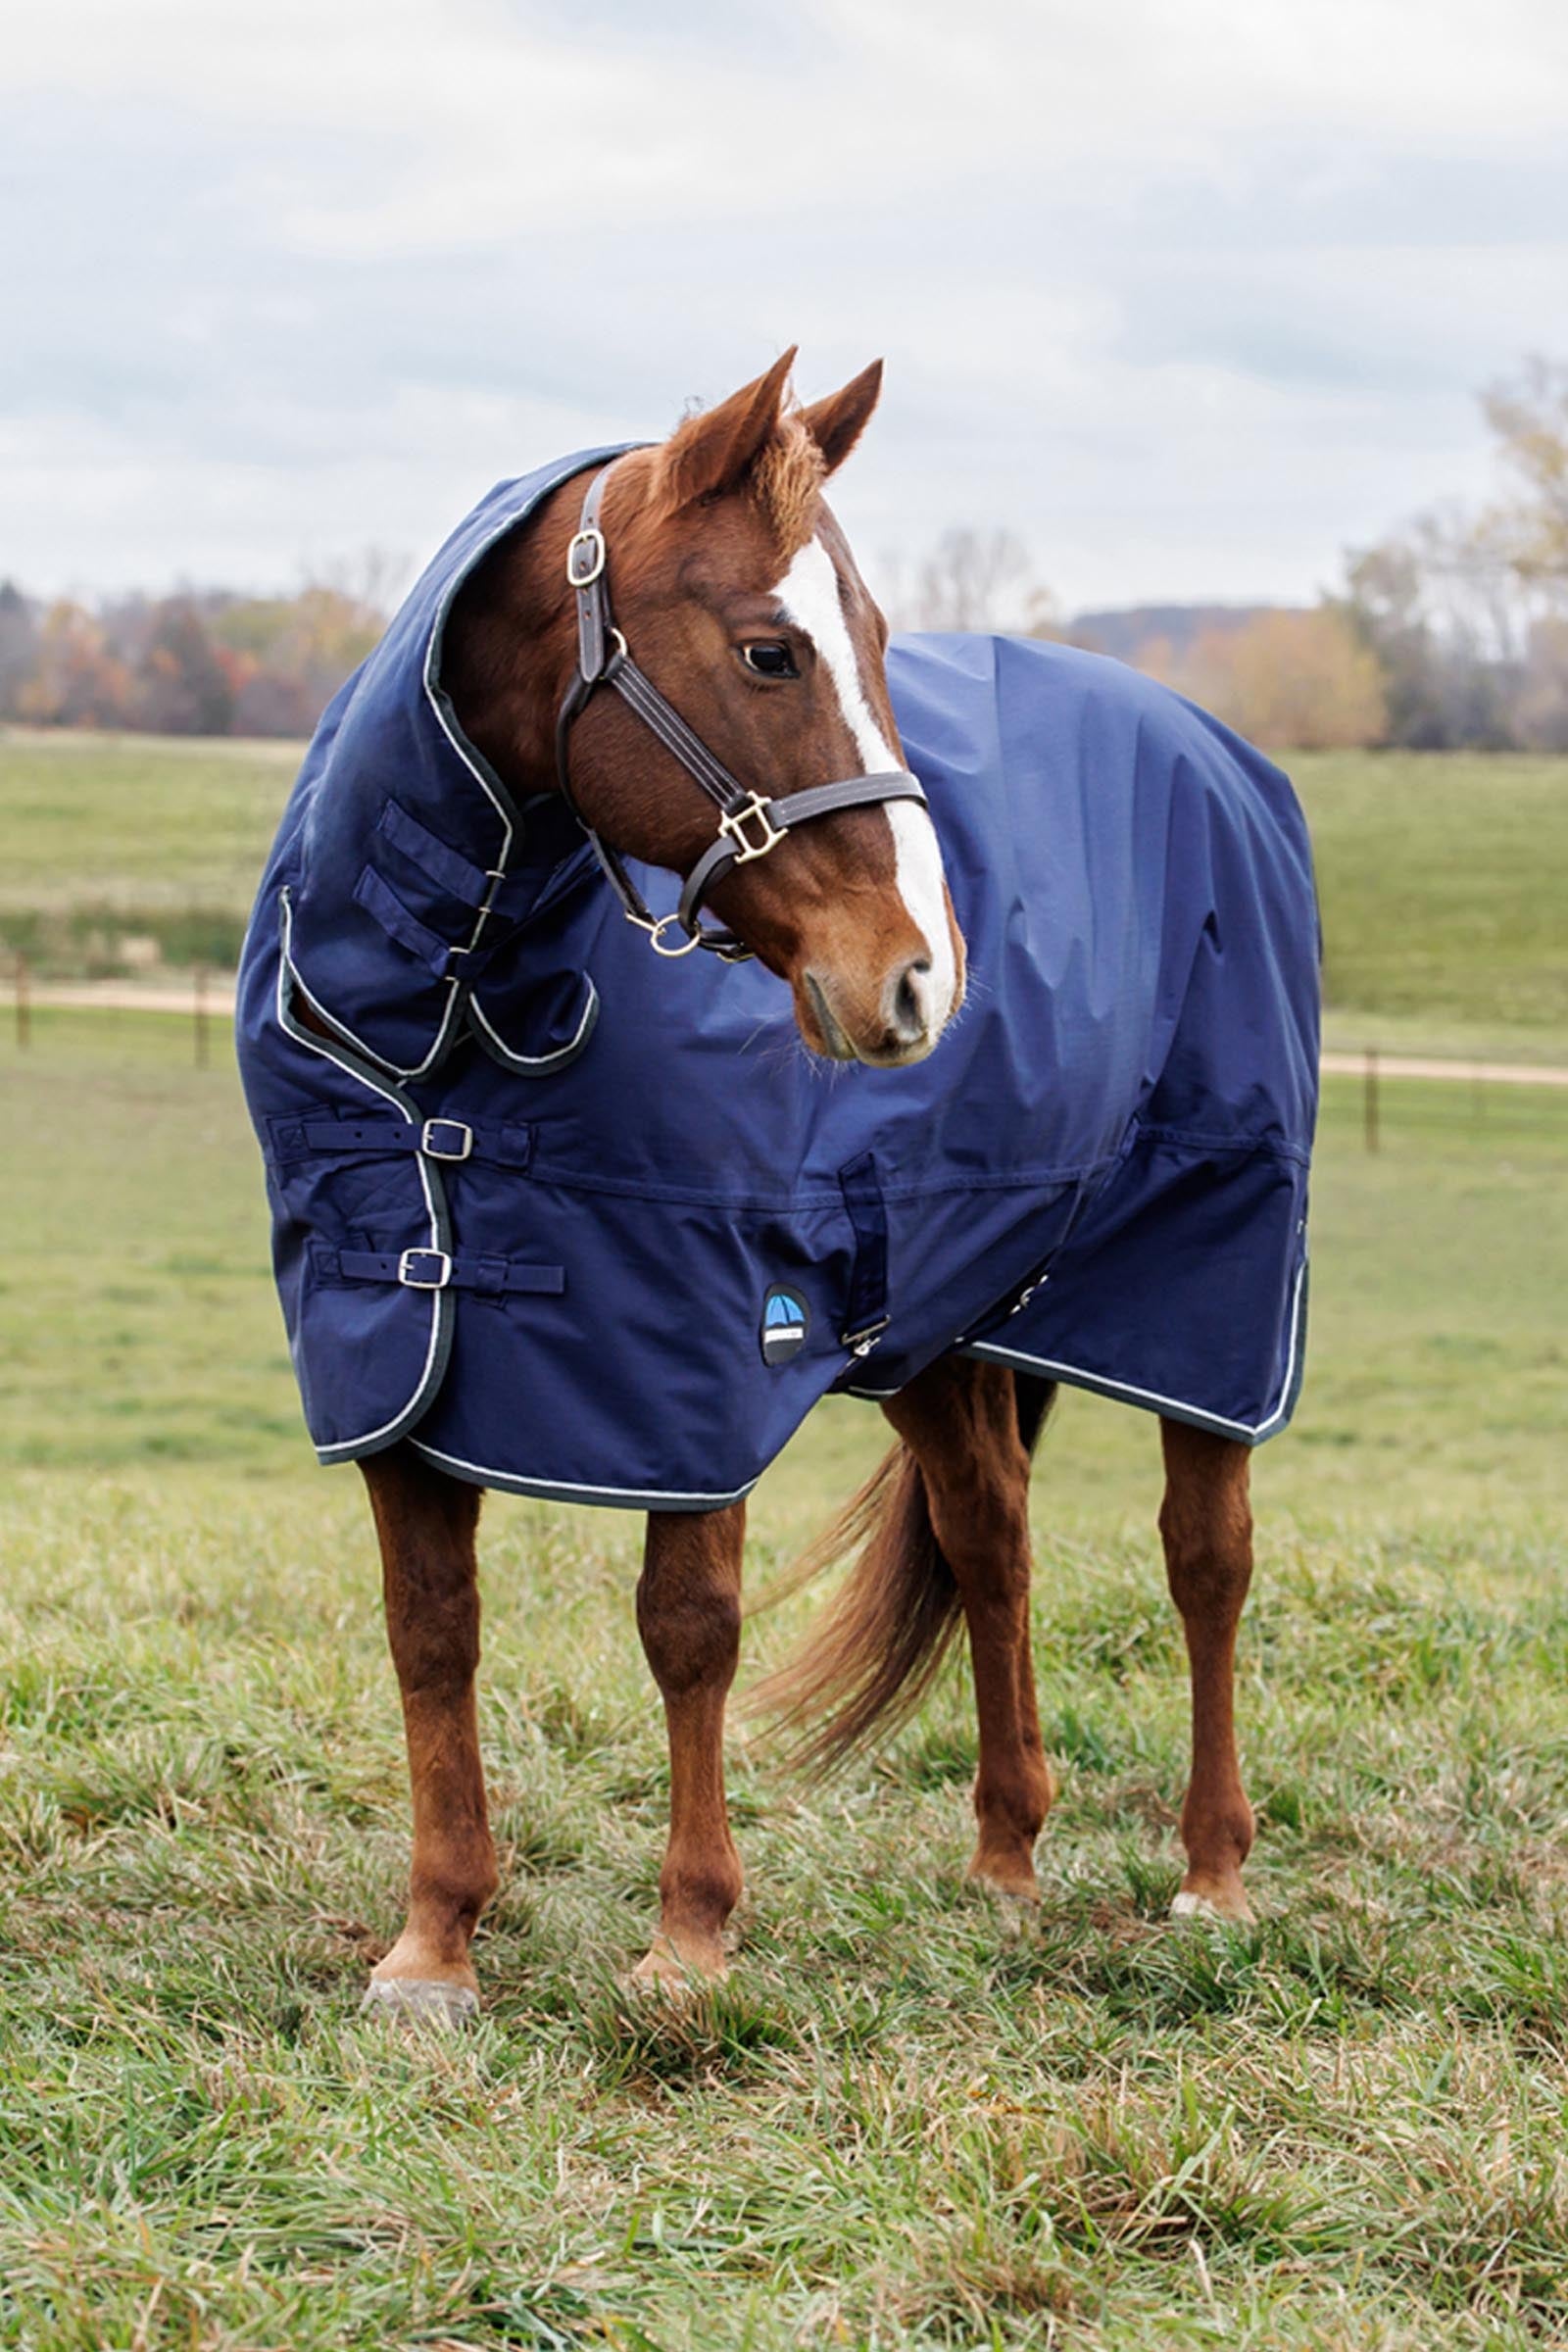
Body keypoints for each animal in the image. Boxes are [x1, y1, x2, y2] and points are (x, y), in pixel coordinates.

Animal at [236, 349, 1317, 2019]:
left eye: (875, 645)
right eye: (767, 651)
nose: (921, 977)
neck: (447, 1023)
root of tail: (1224, 762)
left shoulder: (705, 1359)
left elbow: (688, 1630)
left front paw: (689, 1939)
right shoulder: (387, 1356)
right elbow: (431, 1634)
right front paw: (434, 1943)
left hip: (1211, 1286)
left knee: (1208, 1560)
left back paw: (1212, 1873)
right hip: (945, 1316)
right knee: (991, 1533)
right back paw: (1006, 1859)